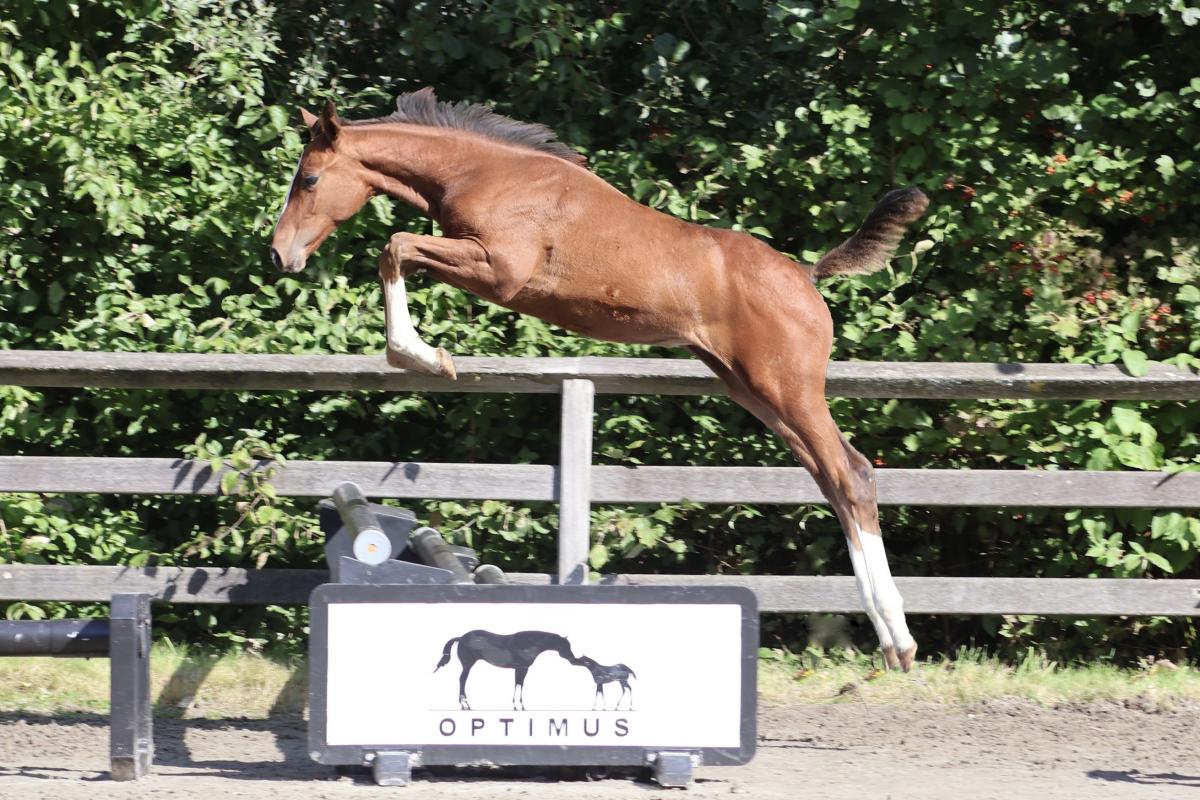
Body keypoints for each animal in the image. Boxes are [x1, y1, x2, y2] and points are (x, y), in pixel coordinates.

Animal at [271, 89, 929, 671]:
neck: (486, 174)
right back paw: (888, 633)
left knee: (851, 476)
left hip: (786, 391)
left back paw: (897, 638)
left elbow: (395, 247)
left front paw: (424, 357)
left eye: (309, 180)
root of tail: (806, 277)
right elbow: (398, 250)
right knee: (834, 478)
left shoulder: (499, 271)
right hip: (754, 392)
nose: (280, 254)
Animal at [434, 629, 577, 710]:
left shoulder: (521, 669)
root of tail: (461, 638)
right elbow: (519, 684)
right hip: (467, 665)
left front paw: (518, 705)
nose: (573, 658)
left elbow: (519, 684)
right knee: (462, 679)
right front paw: (518, 706)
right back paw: (465, 704)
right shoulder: (521, 668)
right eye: (566, 646)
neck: (529, 643)